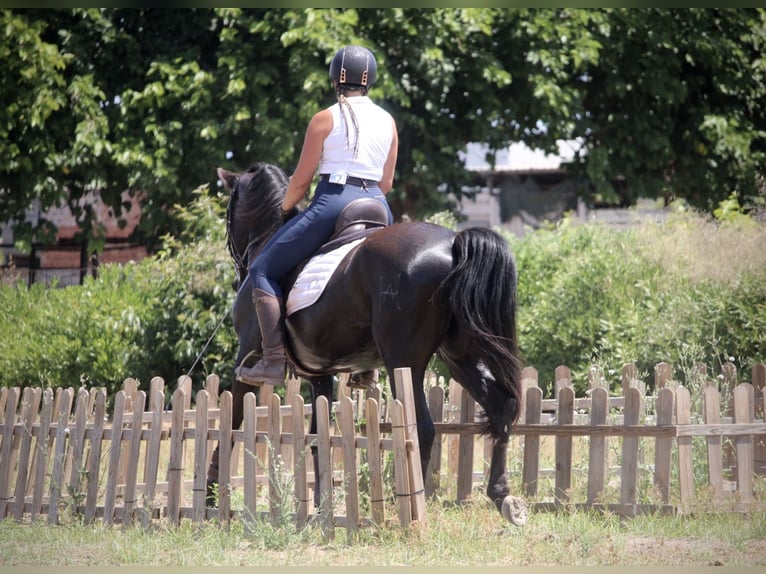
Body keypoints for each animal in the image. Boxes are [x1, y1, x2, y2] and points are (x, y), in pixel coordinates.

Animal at [206, 161, 527, 525]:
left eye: (229, 210)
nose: (237, 274)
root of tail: (453, 244)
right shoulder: (320, 376)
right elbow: (318, 439)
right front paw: (321, 508)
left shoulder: (245, 358)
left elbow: (230, 425)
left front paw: (211, 494)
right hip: (459, 355)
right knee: (501, 407)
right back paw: (503, 497)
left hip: (403, 359)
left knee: (423, 428)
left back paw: (410, 508)